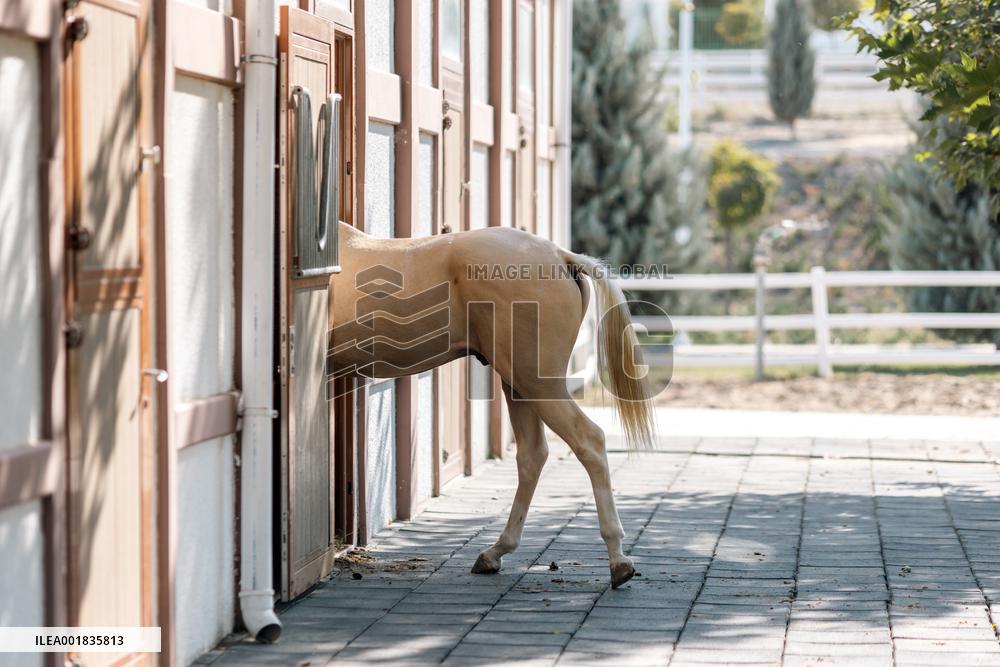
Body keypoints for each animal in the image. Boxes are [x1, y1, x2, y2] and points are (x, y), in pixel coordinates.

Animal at [328, 221, 655, 588]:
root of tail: (561, 257)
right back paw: (495, 552)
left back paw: (618, 559)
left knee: (589, 442)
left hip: (537, 384)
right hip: (518, 386)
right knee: (532, 455)